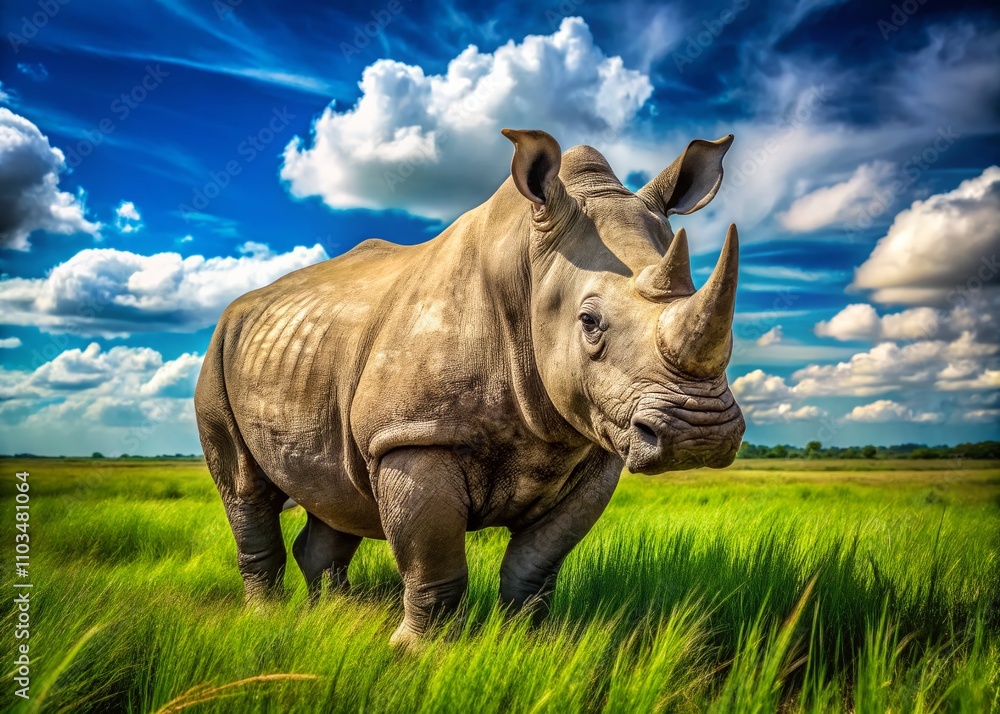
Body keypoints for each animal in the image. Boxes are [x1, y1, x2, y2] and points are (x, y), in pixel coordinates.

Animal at [195, 129, 745, 648]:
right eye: (589, 322)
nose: (700, 435)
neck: (528, 266)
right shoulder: (412, 435)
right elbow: (435, 567)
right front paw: (419, 654)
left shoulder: (593, 449)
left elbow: (533, 568)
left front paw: (526, 644)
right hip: (220, 353)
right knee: (245, 488)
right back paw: (267, 620)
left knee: (336, 495)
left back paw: (335, 617)